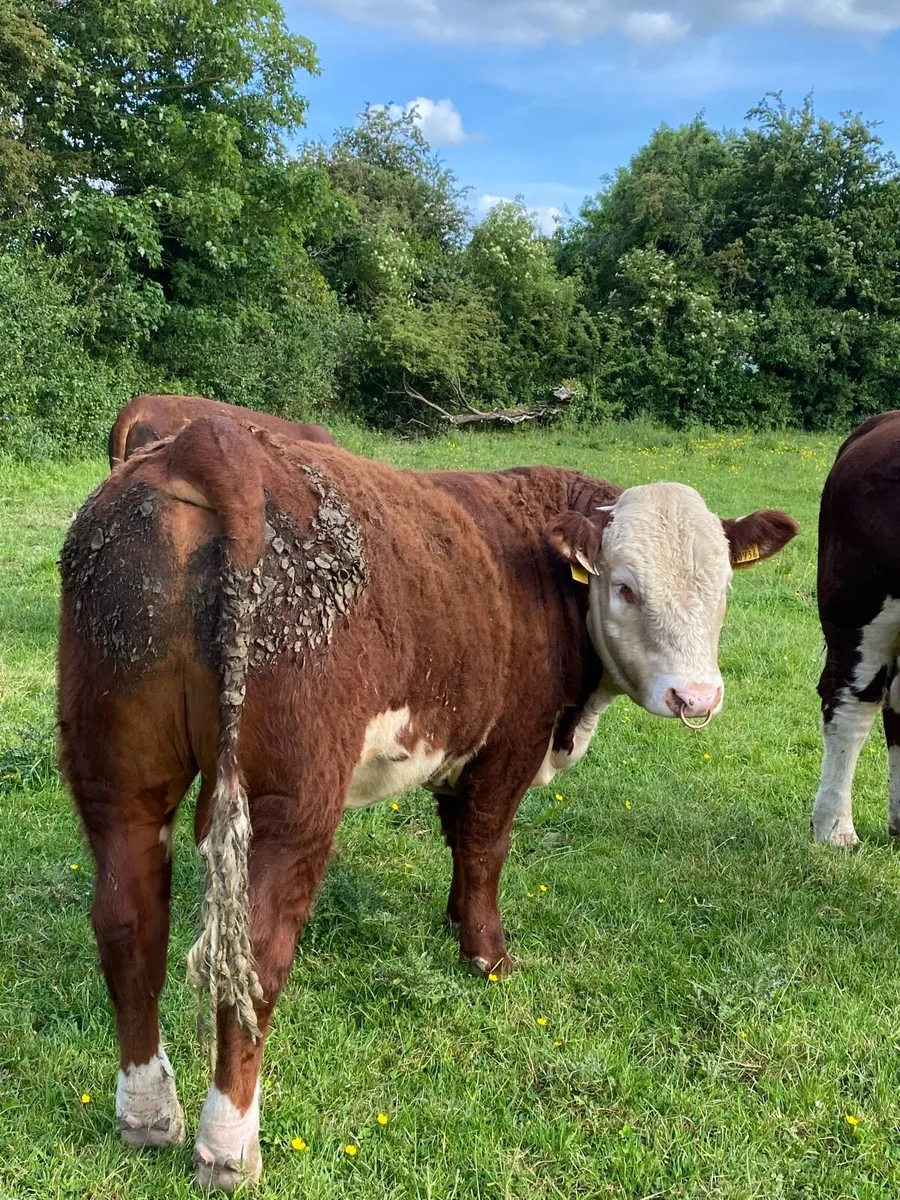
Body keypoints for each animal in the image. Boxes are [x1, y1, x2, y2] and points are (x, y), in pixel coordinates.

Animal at [57, 416, 798, 1190]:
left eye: (723, 588)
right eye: (624, 588)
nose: (697, 698)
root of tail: (207, 442)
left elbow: (456, 839)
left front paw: (453, 919)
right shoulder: (512, 741)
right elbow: (484, 845)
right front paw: (487, 954)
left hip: (116, 770)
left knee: (129, 923)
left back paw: (146, 1114)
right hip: (288, 798)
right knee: (254, 953)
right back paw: (228, 1147)